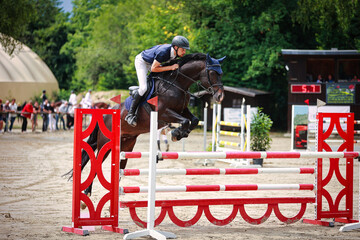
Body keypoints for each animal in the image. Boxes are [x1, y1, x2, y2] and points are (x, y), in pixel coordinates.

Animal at [63, 53, 224, 200]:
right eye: (212, 73)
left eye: (220, 73)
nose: (220, 97)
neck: (177, 84)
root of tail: (106, 115)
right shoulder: (163, 113)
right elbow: (184, 121)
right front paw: (176, 134)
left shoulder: (182, 110)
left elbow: (194, 120)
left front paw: (180, 133)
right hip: (105, 144)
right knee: (95, 164)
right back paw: (87, 192)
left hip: (127, 145)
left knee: (121, 167)